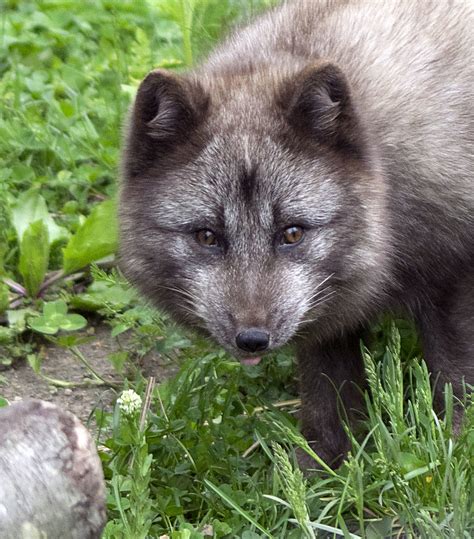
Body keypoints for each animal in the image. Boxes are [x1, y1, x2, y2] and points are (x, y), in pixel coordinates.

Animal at [120, 1, 472, 468]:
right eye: (207, 236)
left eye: (292, 233)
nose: (252, 339)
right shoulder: (326, 313)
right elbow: (328, 392)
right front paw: (324, 469)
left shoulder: (452, 273)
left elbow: (454, 379)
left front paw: (456, 449)